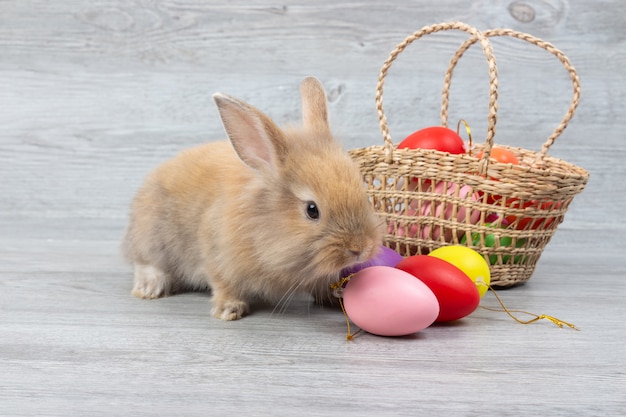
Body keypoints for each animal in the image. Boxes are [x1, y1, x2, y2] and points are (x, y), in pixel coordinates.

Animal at [122, 76, 380, 320]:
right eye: (312, 209)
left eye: (365, 196)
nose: (362, 248)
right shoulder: (219, 258)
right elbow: (223, 284)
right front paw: (228, 309)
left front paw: (337, 297)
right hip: (152, 239)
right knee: (145, 263)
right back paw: (149, 288)